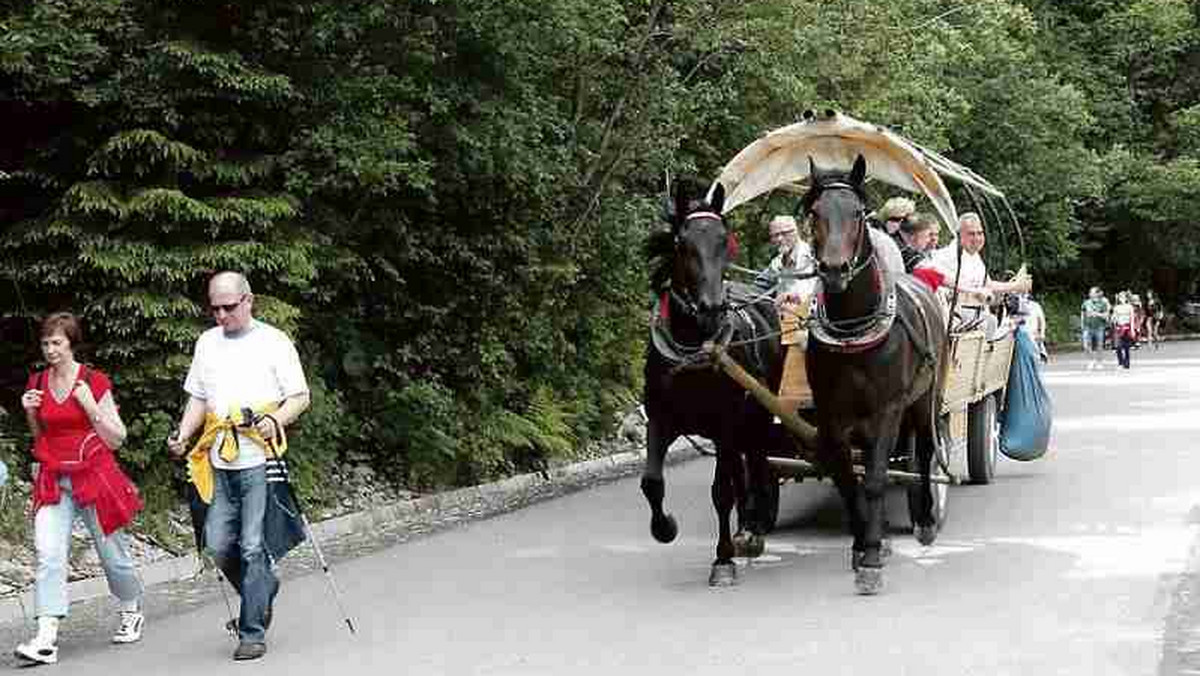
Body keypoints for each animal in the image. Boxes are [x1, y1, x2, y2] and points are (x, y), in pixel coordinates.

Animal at [643, 181, 782, 588]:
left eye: (724, 240)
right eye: (682, 243)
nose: (712, 307)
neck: (694, 346)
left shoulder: (724, 425)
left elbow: (721, 492)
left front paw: (723, 559)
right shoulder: (660, 419)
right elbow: (652, 482)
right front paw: (665, 528)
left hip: (757, 416)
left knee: (755, 465)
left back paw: (752, 530)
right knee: (743, 471)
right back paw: (746, 528)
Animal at [801, 156, 950, 595]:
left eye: (857, 213)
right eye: (815, 213)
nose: (834, 269)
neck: (853, 330)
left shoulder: (888, 411)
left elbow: (877, 479)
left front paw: (869, 559)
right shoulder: (832, 417)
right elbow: (850, 480)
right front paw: (864, 544)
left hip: (924, 403)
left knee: (924, 453)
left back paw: (926, 520)